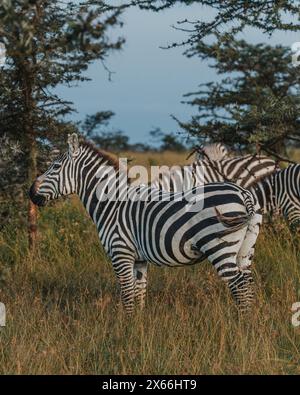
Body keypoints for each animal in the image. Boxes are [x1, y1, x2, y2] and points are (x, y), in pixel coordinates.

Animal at [28, 135, 262, 314]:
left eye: (55, 166)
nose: (30, 193)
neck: (112, 203)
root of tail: (243, 193)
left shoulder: (120, 253)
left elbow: (127, 295)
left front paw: (125, 329)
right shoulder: (139, 259)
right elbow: (139, 293)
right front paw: (138, 328)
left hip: (220, 247)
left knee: (238, 285)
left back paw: (241, 325)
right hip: (245, 249)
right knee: (248, 283)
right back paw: (250, 324)